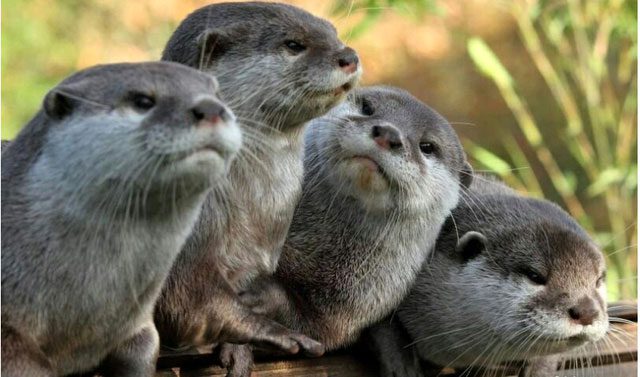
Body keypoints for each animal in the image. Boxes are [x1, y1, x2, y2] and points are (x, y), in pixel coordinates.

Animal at [155, 0, 360, 362]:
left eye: (334, 33)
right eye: (293, 44)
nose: (348, 55)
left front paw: (238, 349)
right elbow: (186, 299)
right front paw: (277, 333)